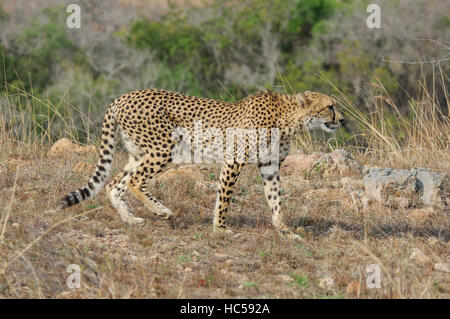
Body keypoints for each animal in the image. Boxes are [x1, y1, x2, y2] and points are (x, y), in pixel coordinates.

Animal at [56, 89, 344, 241]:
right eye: (330, 106)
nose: (341, 119)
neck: (288, 118)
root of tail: (124, 96)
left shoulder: (270, 166)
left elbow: (275, 200)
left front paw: (283, 229)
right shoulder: (233, 159)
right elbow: (224, 197)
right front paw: (221, 228)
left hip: (139, 153)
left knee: (116, 183)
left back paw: (131, 219)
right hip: (164, 148)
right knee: (136, 181)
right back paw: (162, 211)